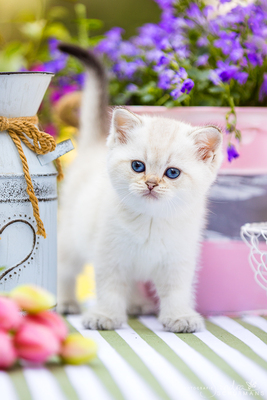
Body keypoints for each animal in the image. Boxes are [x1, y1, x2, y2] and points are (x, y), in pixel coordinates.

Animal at [57, 43, 224, 332]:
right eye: (138, 166)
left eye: (172, 173)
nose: (151, 183)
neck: (151, 221)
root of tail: (94, 145)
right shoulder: (109, 255)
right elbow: (110, 288)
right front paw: (106, 316)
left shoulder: (178, 259)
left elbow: (177, 291)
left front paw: (179, 316)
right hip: (71, 236)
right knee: (65, 270)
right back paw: (66, 302)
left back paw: (137, 304)